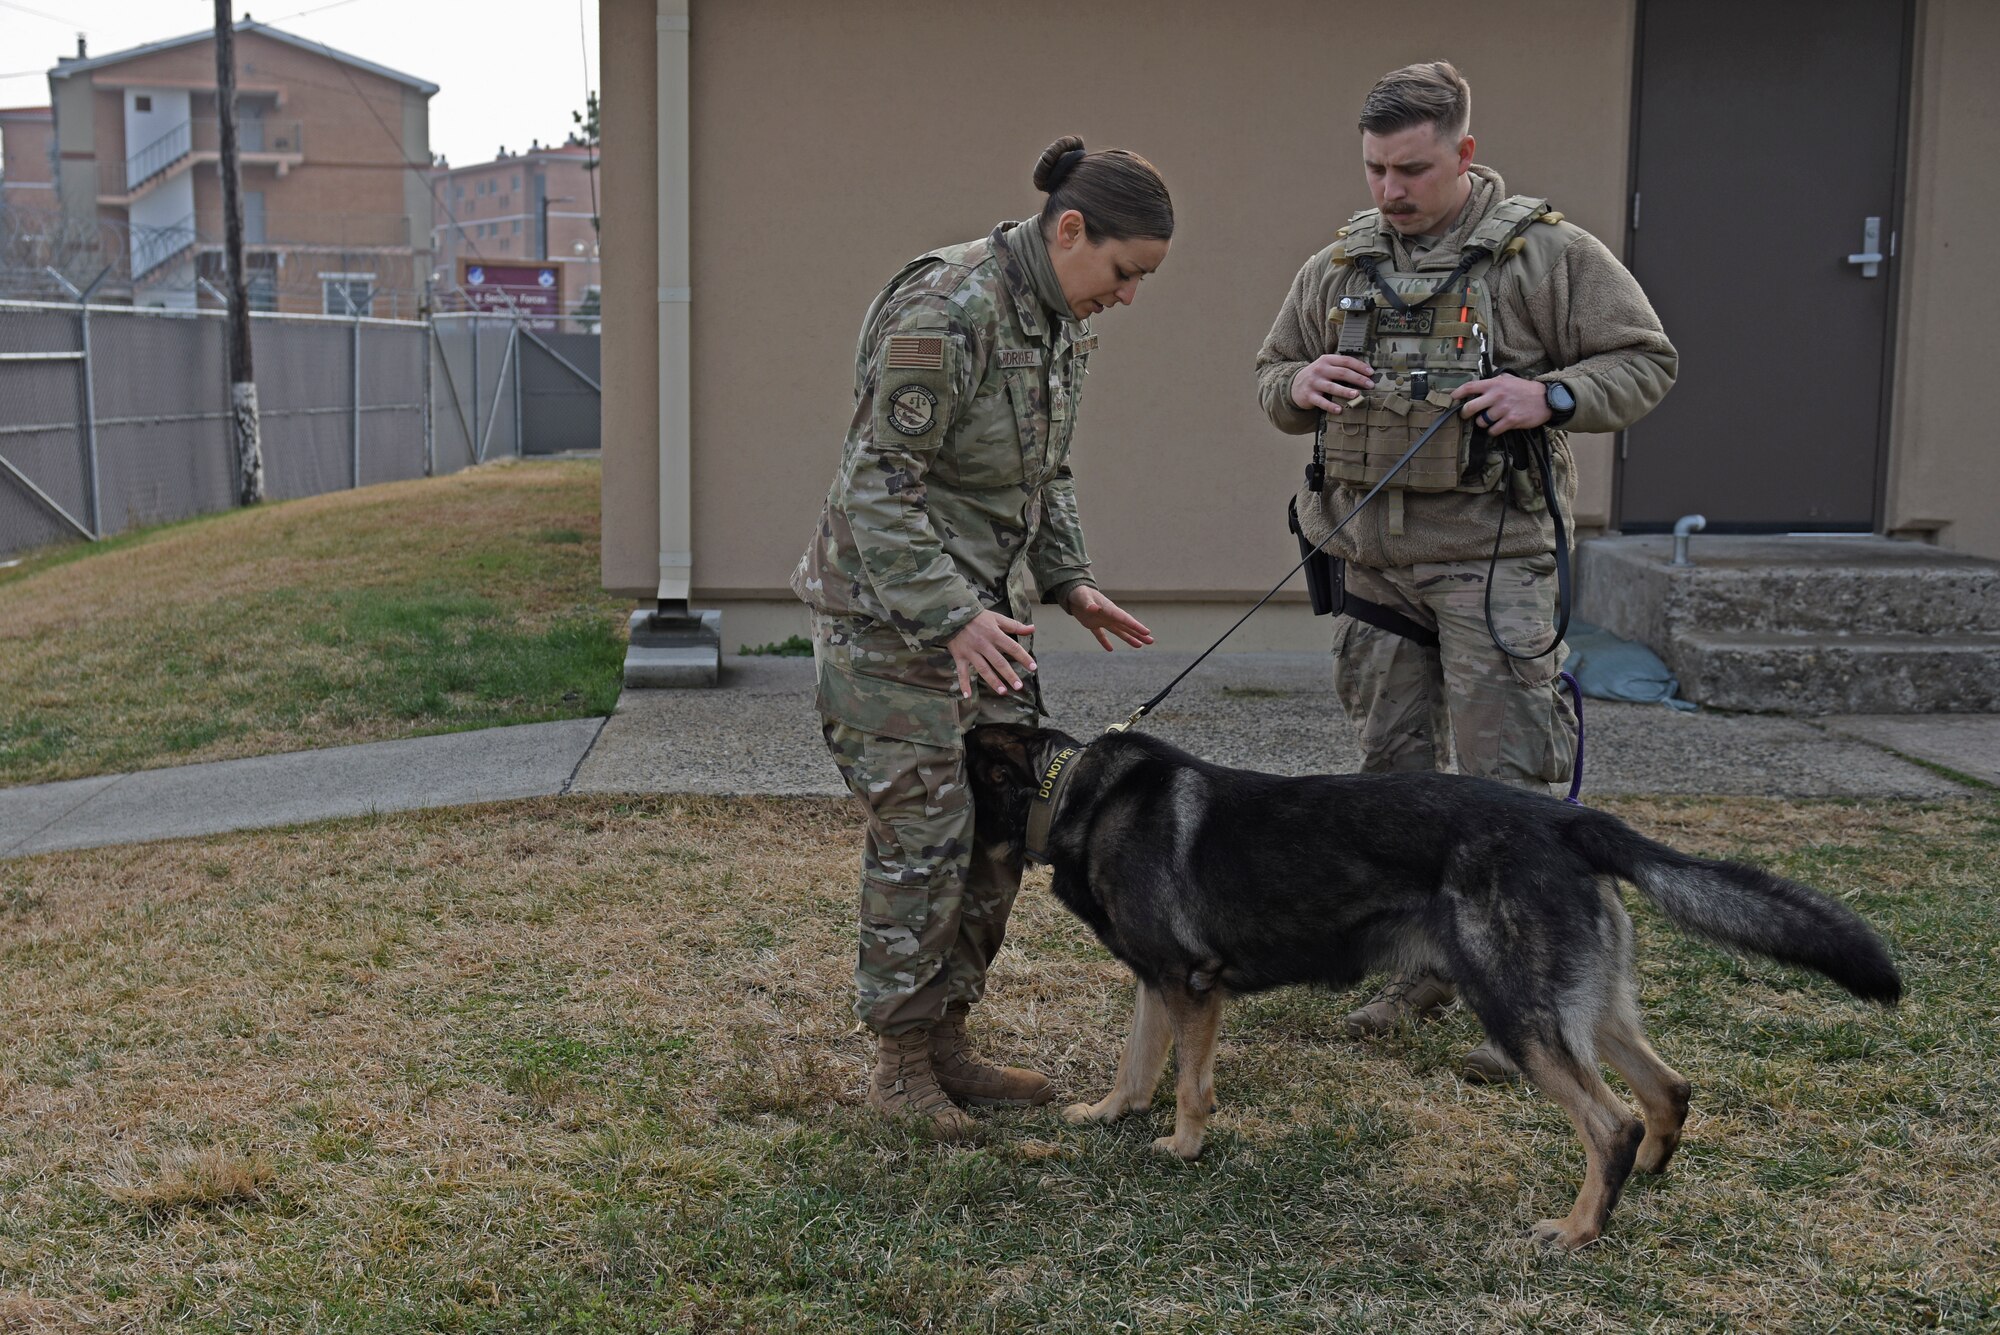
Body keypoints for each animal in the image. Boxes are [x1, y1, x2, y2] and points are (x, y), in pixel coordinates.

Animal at [968, 723, 1904, 1247]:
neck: (1069, 790)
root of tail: (1566, 818)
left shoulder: (1192, 986)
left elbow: (1190, 1083)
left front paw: (1183, 1147)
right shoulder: (1156, 982)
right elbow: (1136, 1061)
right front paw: (1108, 1115)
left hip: (1517, 1010)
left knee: (1611, 1122)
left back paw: (1578, 1231)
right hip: (1583, 1005)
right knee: (1667, 1088)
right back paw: (1642, 1184)